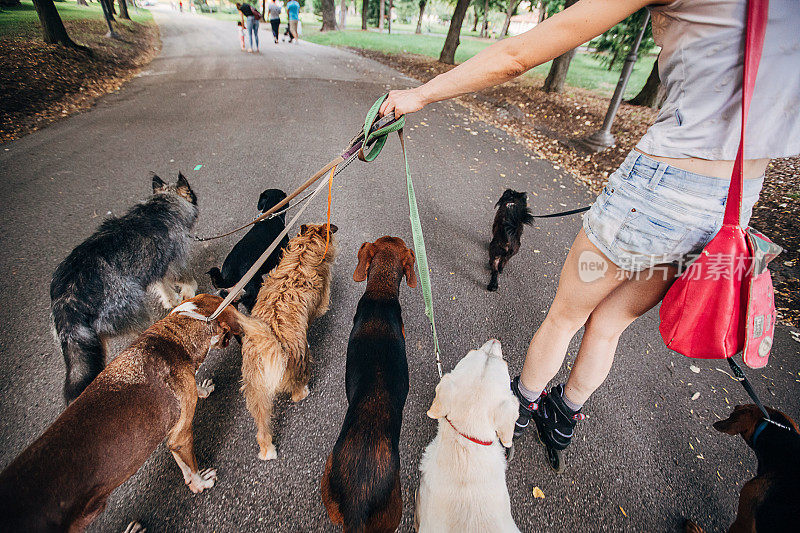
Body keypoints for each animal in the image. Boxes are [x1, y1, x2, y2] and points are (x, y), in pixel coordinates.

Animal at [51, 172, 198, 402]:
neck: (164, 203)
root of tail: (67, 299)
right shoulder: (176, 258)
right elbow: (185, 279)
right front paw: (188, 293)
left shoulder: (153, 266)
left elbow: (162, 284)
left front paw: (171, 299)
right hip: (132, 310)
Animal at [239, 222, 336, 460]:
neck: (305, 250)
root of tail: (267, 347)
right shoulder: (323, 296)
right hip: (299, 364)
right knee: (297, 392)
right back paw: (303, 391)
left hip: (256, 392)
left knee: (262, 429)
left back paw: (267, 450)